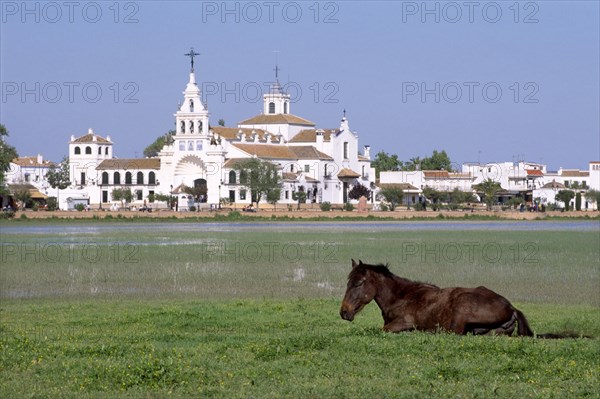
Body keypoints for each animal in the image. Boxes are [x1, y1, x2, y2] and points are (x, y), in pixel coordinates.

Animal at [340, 260, 532, 336]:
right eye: (348, 282)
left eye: (358, 283)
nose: (344, 312)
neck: (401, 296)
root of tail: (511, 308)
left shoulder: (404, 323)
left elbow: (382, 330)